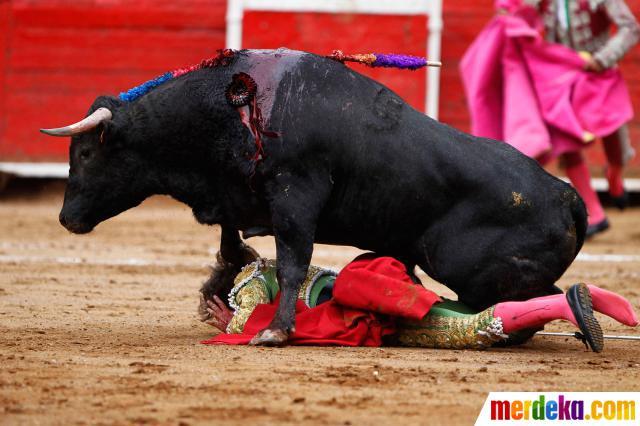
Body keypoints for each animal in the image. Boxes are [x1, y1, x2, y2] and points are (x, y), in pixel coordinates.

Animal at [42, 48, 588, 344]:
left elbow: (291, 263)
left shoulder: (295, 198)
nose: (67, 219)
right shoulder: (235, 196)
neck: (226, 108)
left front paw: (276, 331)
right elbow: (231, 242)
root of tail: (566, 196)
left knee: (524, 300)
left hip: (472, 270)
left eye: (86, 153)